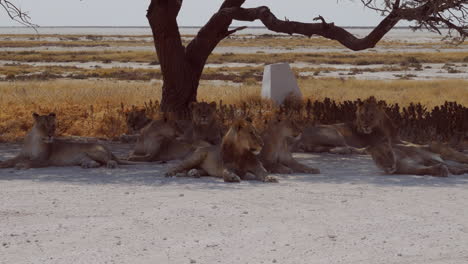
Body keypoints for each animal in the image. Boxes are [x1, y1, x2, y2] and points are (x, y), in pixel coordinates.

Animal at [0, 112, 141, 168]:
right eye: (43, 126)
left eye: (53, 126)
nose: (50, 135)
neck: (36, 139)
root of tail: (107, 147)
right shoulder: (22, 155)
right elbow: (10, 161)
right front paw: (3, 164)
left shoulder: (44, 160)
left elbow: (30, 162)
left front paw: (21, 165)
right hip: (85, 157)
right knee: (97, 163)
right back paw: (87, 165)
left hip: (96, 152)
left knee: (110, 160)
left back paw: (111, 165)